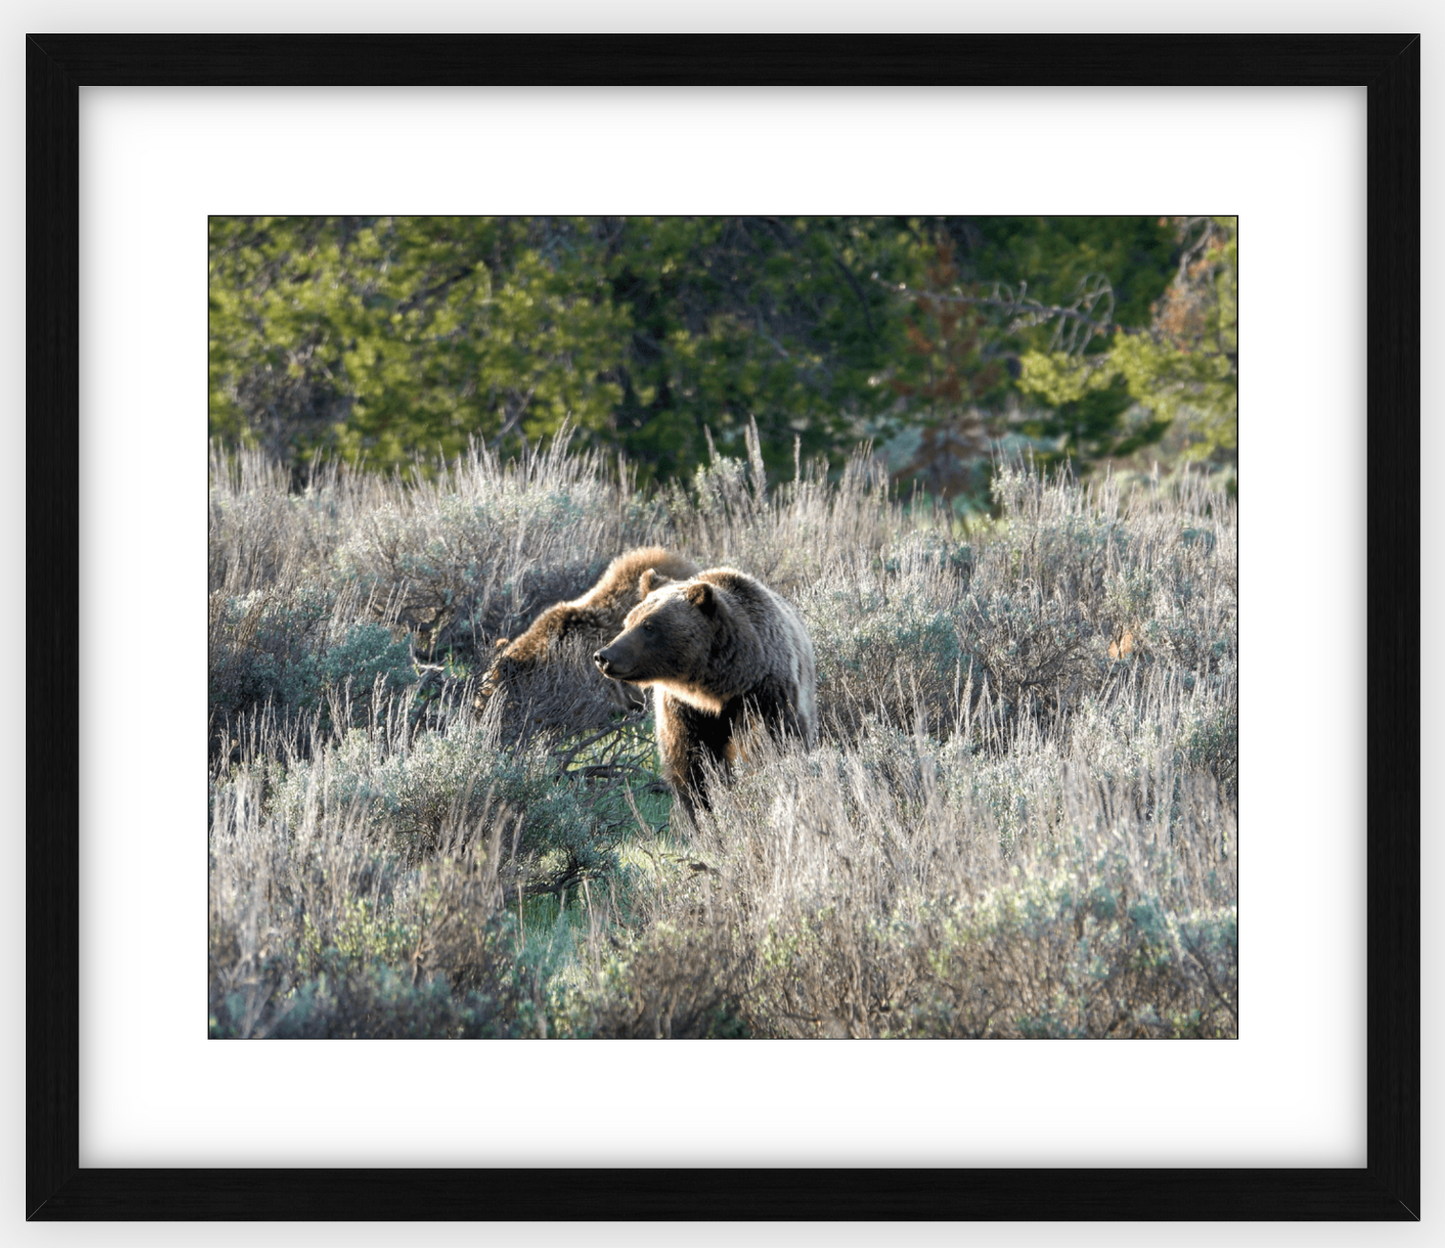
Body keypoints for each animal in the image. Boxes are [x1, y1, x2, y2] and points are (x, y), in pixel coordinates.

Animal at [586, 569, 814, 820]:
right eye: (629, 621)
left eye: (649, 626)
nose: (603, 656)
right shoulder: (682, 708)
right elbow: (689, 763)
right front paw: (700, 810)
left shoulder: (763, 693)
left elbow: (774, 740)